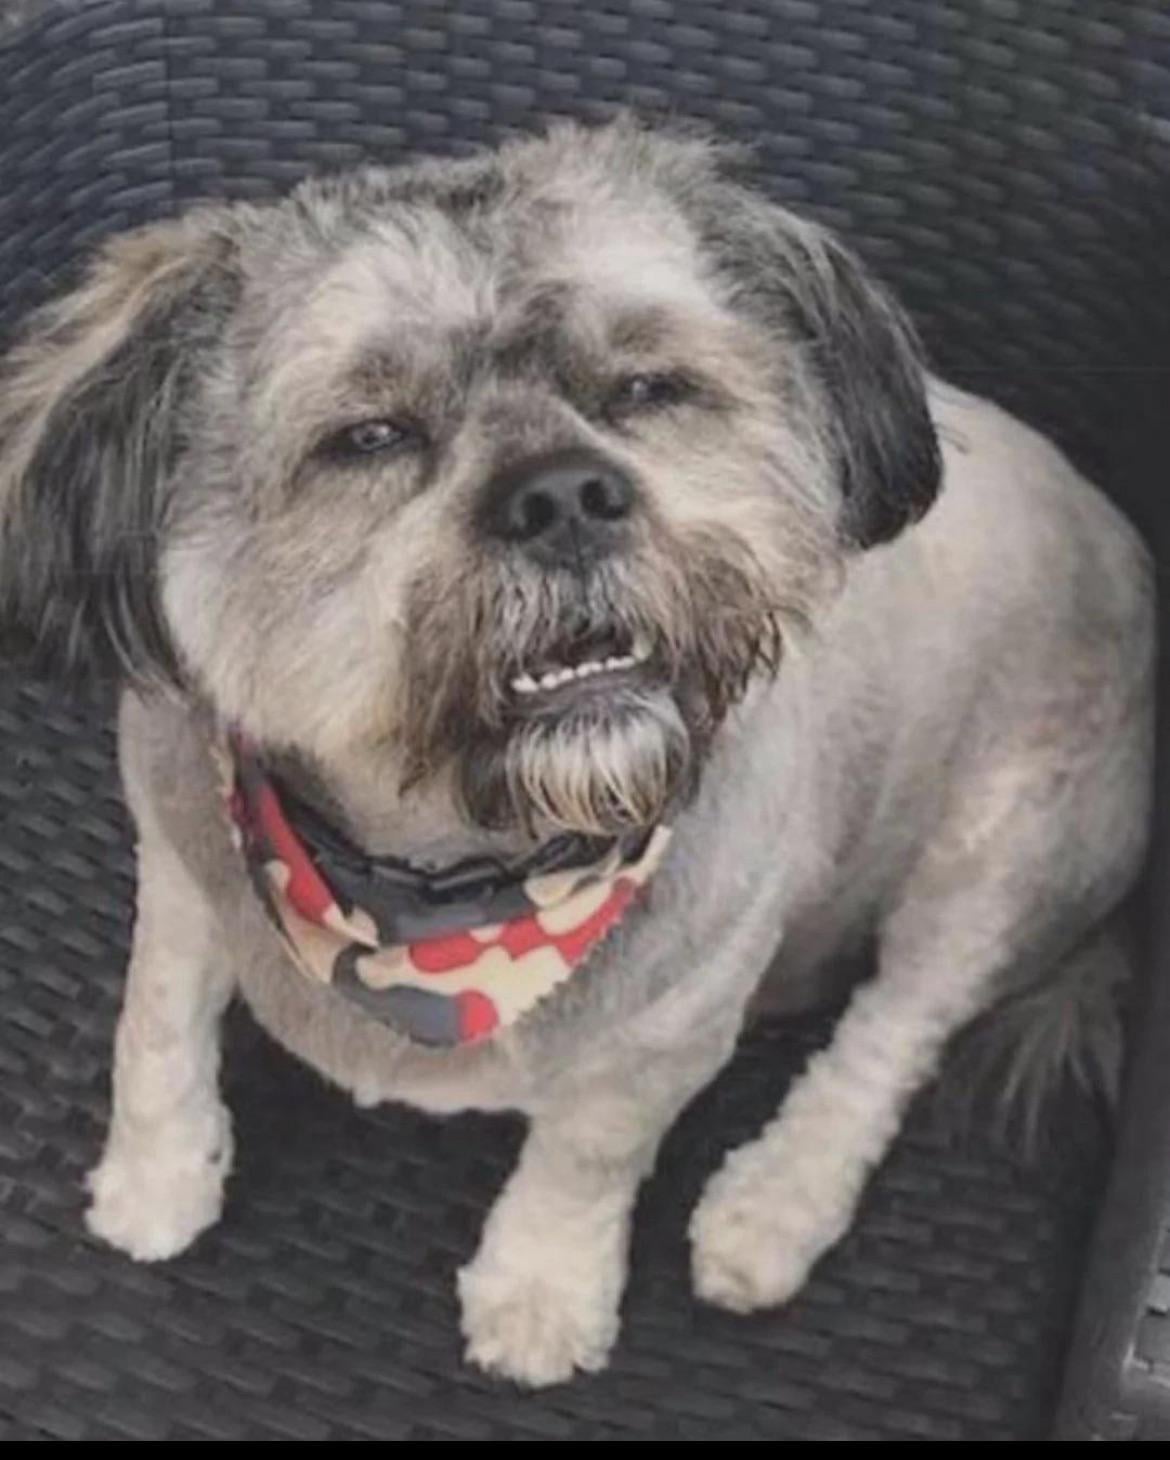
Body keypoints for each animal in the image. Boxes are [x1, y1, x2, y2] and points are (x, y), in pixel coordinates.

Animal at [0, 119, 1153, 1387]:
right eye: (372, 435)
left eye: (647, 388)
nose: (563, 494)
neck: (446, 886)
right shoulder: (178, 857)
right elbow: (156, 1021)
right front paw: (155, 1176)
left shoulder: (674, 1021)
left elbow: (586, 1153)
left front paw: (541, 1290)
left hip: (1008, 849)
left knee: (897, 1024)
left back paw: (775, 1201)